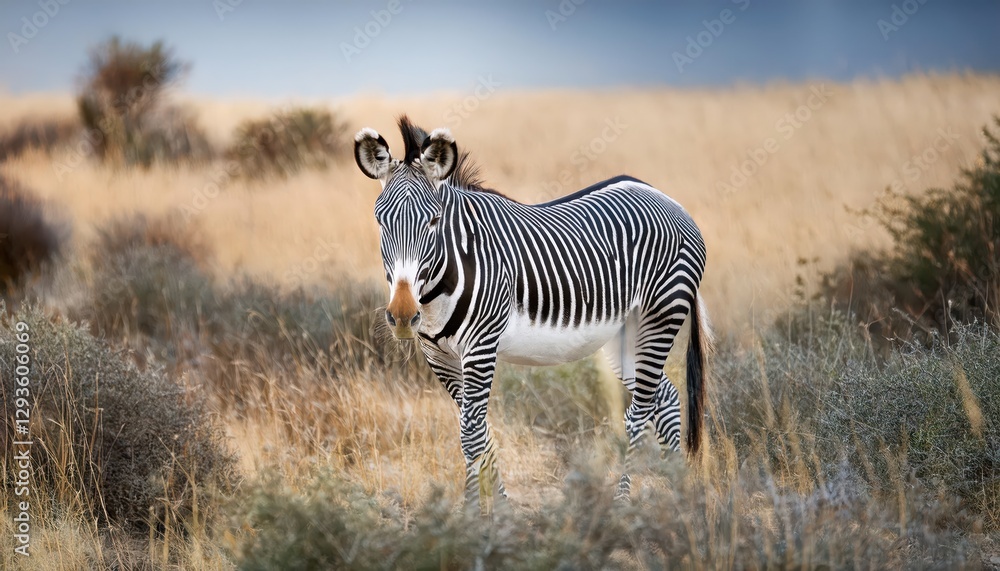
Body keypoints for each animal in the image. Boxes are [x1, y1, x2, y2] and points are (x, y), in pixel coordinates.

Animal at [353, 116, 710, 513]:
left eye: (433, 221)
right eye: (380, 222)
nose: (403, 314)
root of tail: (666, 198)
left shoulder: (481, 347)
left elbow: (471, 433)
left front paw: (471, 517)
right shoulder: (439, 355)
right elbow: (480, 430)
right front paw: (501, 510)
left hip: (661, 314)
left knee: (640, 412)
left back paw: (623, 503)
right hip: (626, 333)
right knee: (666, 398)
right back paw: (680, 496)